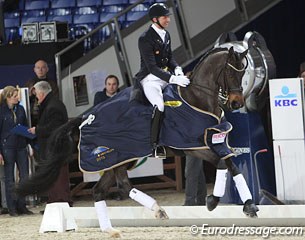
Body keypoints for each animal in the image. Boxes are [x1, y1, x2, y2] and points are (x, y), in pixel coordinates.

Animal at [16, 47, 256, 238]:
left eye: (243, 73)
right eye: (229, 72)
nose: (236, 103)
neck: (196, 98)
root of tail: (85, 117)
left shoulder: (216, 142)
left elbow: (232, 165)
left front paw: (249, 206)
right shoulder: (192, 147)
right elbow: (222, 164)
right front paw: (212, 201)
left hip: (117, 160)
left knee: (104, 190)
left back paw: (114, 228)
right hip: (114, 157)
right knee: (119, 186)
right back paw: (153, 211)